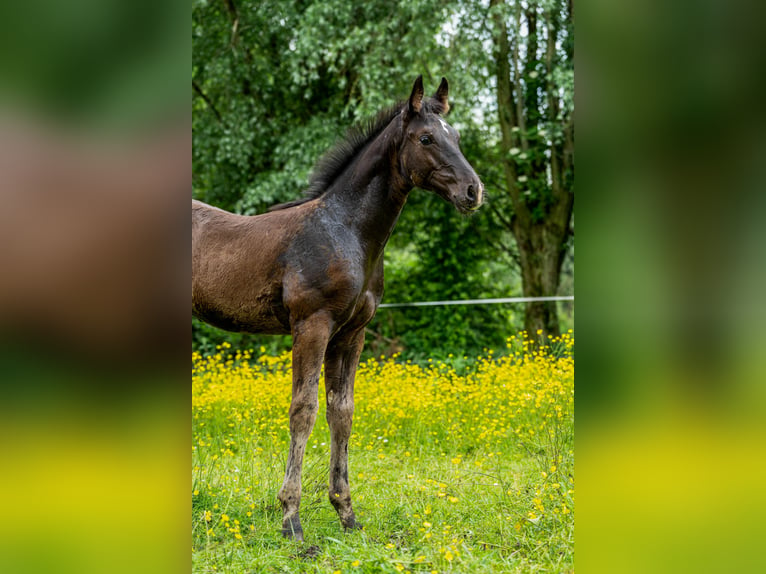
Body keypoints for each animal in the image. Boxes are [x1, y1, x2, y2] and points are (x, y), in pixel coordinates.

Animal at [194, 76, 480, 540]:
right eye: (426, 138)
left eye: (455, 136)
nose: (473, 191)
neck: (345, 232)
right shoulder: (312, 325)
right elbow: (304, 410)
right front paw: (291, 517)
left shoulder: (351, 332)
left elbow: (341, 412)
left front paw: (346, 512)